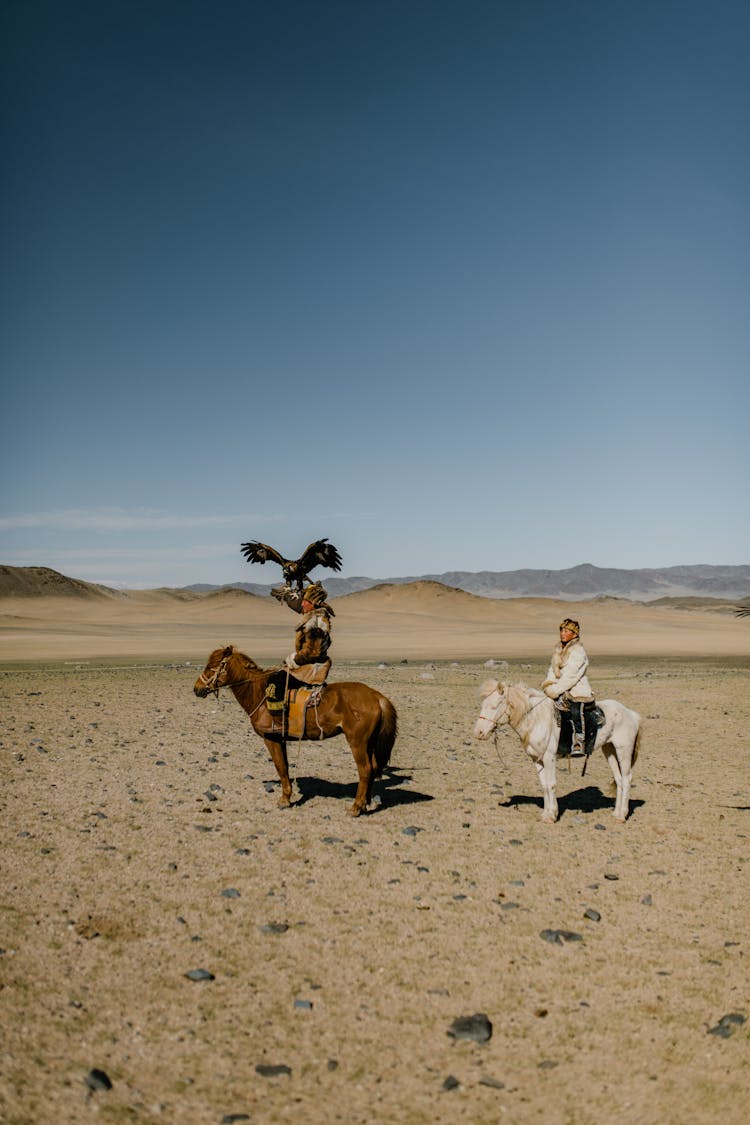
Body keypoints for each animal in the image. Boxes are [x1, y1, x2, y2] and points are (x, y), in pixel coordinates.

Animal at [196, 652, 398, 819]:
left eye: (211, 666)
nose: (196, 688)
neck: (258, 693)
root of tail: (377, 697)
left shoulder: (270, 738)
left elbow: (279, 766)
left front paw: (284, 800)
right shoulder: (281, 739)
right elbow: (285, 765)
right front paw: (287, 795)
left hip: (357, 741)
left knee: (365, 770)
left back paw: (355, 808)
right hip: (369, 742)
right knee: (373, 767)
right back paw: (365, 805)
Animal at [474, 679, 638, 823]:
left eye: (494, 706)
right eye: (482, 705)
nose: (479, 733)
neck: (536, 719)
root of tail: (632, 714)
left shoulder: (549, 757)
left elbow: (551, 784)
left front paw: (551, 816)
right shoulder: (537, 759)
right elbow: (544, 785)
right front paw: (546, 814)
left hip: (623, 750)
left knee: (627, 779)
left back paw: (622, 816)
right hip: (609, 749)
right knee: (619, 779)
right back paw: (616, 813)